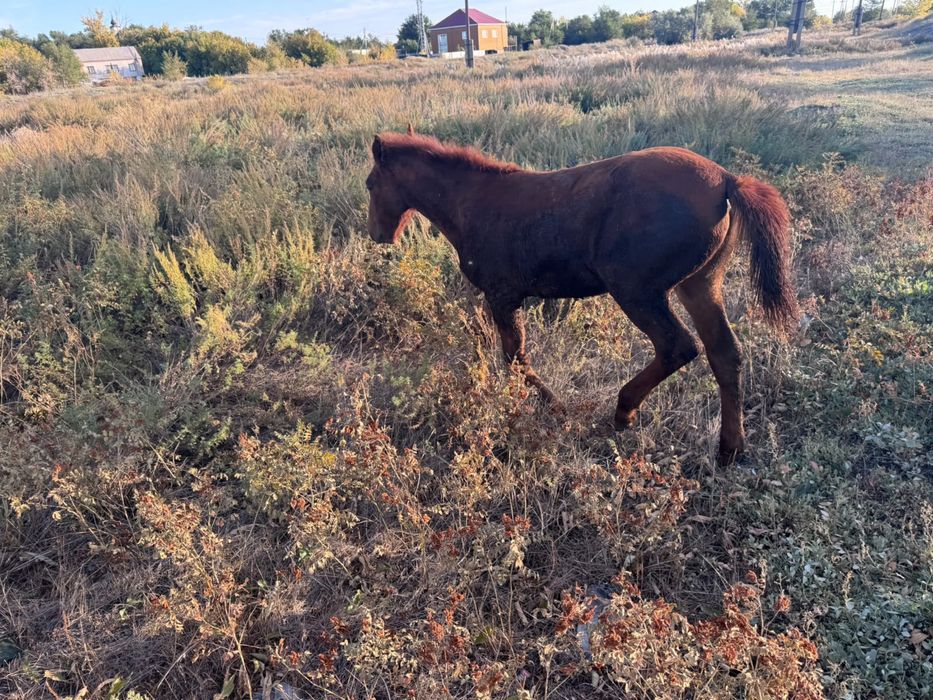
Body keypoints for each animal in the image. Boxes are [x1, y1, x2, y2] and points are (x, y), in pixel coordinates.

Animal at [365, 129, 797, 465]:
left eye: (370, 184)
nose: (378, 234)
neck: (474, 201)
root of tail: (725, 179)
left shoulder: (502, 295)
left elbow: (515, 358)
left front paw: (554, 407)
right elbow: (515, 357)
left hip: (636, 290)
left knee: (678, 346)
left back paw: (624, 411)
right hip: (700, 285)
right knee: (725, 353)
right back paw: (730, 449)